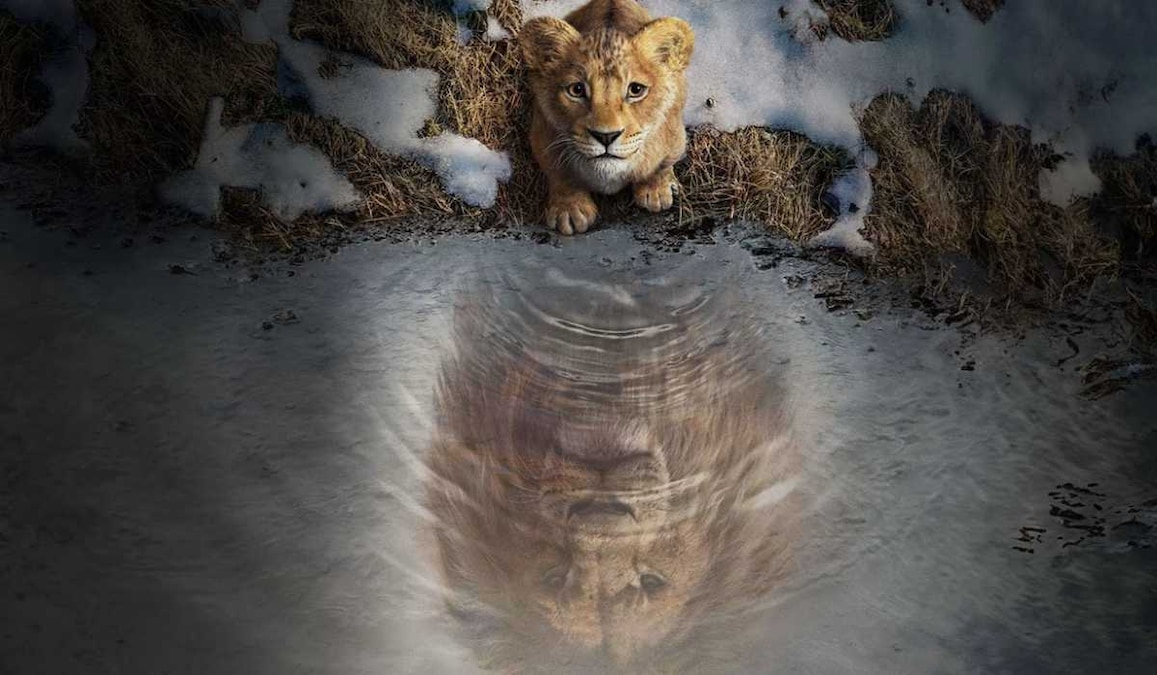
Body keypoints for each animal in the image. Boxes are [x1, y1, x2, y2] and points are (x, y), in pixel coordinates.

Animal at [520, 0, 695, 235]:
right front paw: (570, 210)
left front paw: (656, 191)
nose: (606, 136)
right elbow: (560, 174)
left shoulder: (675, 137)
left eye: (636, 90)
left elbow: (661, 165)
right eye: (576, 90)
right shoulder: (542, 135)